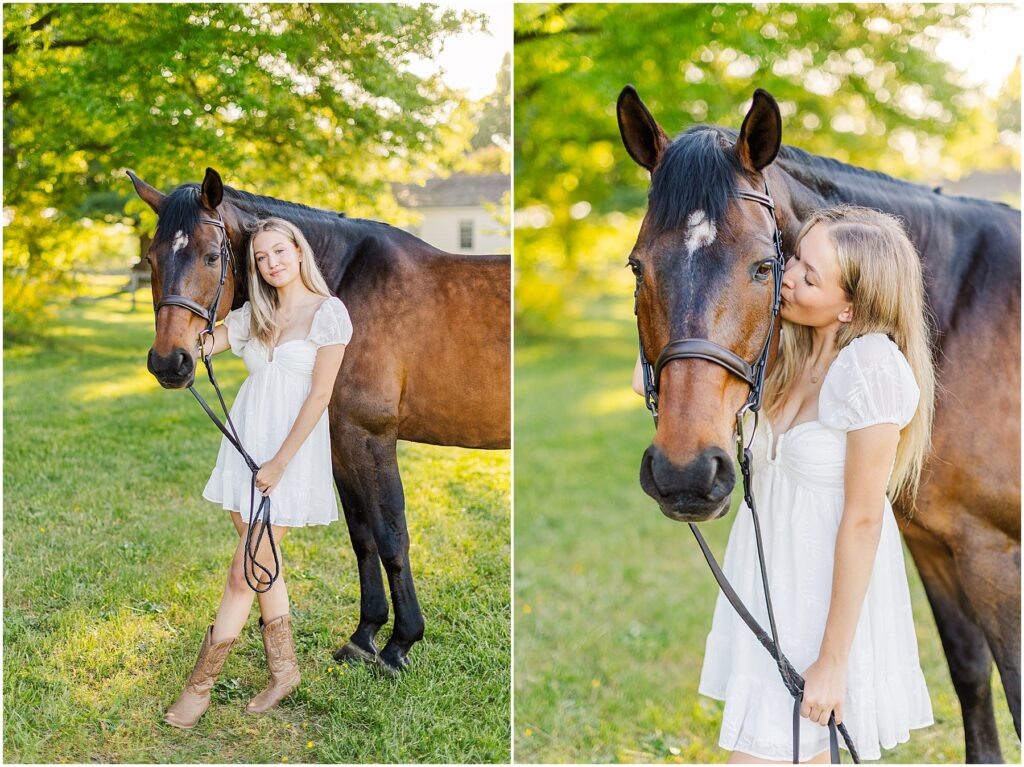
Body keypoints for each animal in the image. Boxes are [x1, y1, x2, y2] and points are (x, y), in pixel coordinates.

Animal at [128, 167, 512, 671]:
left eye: (211, 257)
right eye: (151, 258)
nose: (169, 363)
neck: (342, 286)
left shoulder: (370, 436)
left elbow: (392, 536)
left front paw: (400, 643)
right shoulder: (338, 441)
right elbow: (362, 537)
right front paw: (365, 635)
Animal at [614, 85, 1015, 761]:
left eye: (762, 267)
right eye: (638, 267)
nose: (685, 473)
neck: (960, 317)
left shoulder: (993, 552)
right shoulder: (936, 543)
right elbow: (971, 674)